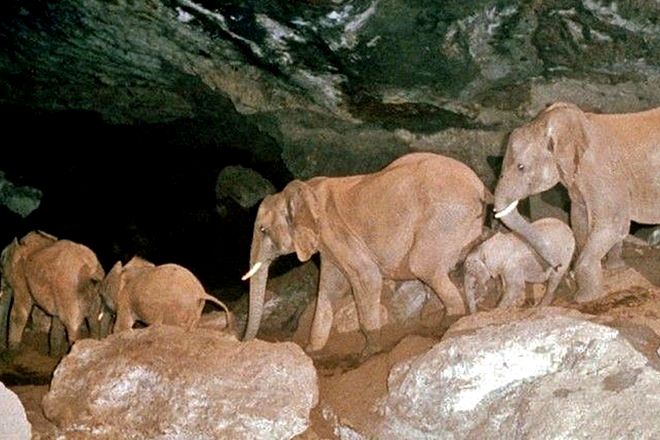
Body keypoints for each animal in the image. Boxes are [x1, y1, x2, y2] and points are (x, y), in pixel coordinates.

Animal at [100, 256, 232, 333]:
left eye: (102, 294)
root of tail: (201, 292)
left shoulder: (125, 301)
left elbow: (121, 328)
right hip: (196, 307)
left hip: (177, 308)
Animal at [241, 152, 492, 356]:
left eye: (263, 230)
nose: (244, 342)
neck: (304, 190)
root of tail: (480, 187)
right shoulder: (329, 246)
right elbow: (328, 289)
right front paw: (312, 351)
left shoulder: (336, 233)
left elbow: (367, 278)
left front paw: (369, 352)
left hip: (446, 219)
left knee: (422, 266)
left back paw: (447, 324)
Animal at [493, 102, 660, 303]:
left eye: (521, 167)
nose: (558, 266)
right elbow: (579, 220)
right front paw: (615, 269)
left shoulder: (602, 175)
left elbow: (613, 225)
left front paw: (584, 298)